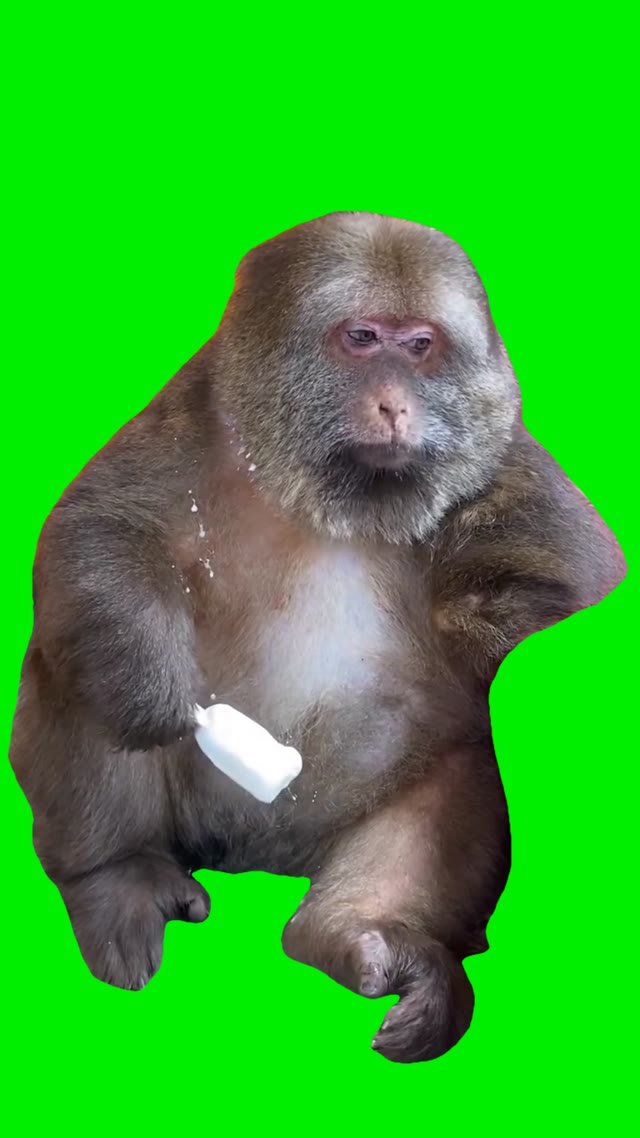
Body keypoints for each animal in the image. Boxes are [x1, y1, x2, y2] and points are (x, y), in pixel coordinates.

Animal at [9, 212, 626, 1064]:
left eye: (420, 345)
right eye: (363, 338)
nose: (396, 405)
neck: (331, 498)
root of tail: (258, 857)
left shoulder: (499, 458)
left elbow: (584, 572)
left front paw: (483, 613)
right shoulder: (191, 417)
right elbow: (100, 530)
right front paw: (146, 688)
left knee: (454, 780)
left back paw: (365, 937)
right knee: (78, 663)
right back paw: (117, 876)